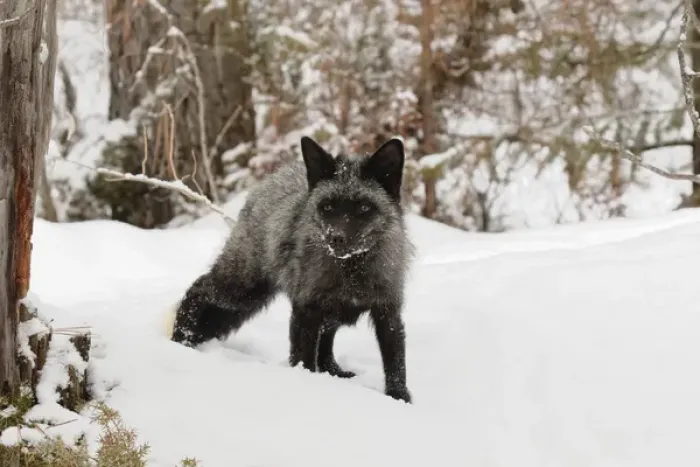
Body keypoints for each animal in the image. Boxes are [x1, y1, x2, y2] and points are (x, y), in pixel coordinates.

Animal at [170, 136, 414, 403]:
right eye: (328, 207)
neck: (351, 271)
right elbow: (303, 358)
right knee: (198, 288)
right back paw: (181, 337)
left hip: (323, 311)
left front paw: (399, 398)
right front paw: (305, 385)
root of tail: (276, 175)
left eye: (363, 208)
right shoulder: (305, 308)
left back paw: (333, 372)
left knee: (326, 345)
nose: (336, 237)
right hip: (243, 289)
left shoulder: (388, 311)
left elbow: (396, 362)